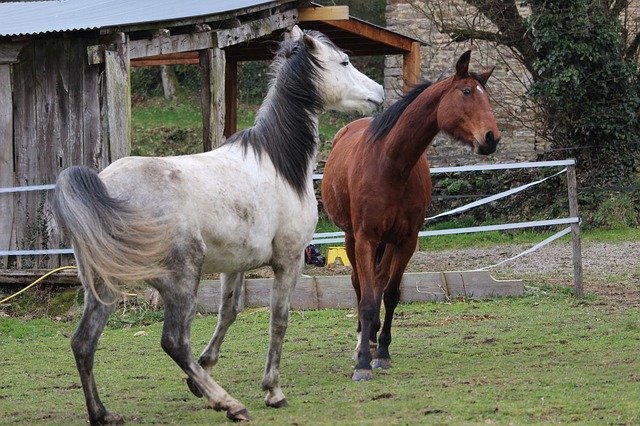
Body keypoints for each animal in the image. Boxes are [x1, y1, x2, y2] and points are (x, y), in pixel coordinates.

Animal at [53, 26, 380, 422]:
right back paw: (229, 403)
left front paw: (203, 372)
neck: (277, 161)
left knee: (83, 342)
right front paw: (272, 390)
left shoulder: (234, 266)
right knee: (174, 341)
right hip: (181, 279)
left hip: (104, 287)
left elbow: (229, 312)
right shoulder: (289, 260)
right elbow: (279, 319)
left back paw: (103, 414)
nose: (379, 93)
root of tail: (103, 187)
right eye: (344, 61)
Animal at [320, 50, 500, 380]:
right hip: (352, 238)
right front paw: (363, 362)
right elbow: (367, 300)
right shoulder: (366, 238)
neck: (390, 164)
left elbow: (390, 294)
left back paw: (373, 340)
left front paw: (382, 353)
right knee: (358, 284)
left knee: (378, 280)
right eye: (466, 92)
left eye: (486, 96)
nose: (491, 137)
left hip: (387, 243)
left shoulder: (405, 241)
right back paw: (361, 342)